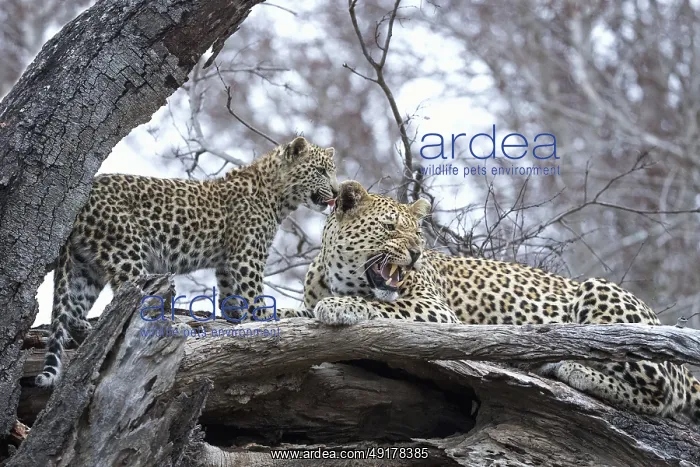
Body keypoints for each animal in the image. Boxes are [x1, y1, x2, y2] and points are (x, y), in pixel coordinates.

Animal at [35, 136, 339, 388]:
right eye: (321, 171)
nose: (337, 191)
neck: (278, 195)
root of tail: (83, 198)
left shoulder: (227, 265)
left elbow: (231, 301)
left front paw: (239, 320)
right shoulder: (246, 258)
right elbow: (255, 300)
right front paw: (272, 318)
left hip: (86, 266)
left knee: (73, 311)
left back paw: (90, 332)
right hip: (127, 252)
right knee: (135, 303)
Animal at [294, 179, 700, 424]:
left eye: (419, 233)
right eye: (389, 227)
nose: (415, 253)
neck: (337, 275)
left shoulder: (435, 310)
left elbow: (384, 306)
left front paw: (340, 306)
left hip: (599, 292)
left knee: (662, 393)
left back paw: (573, 368)